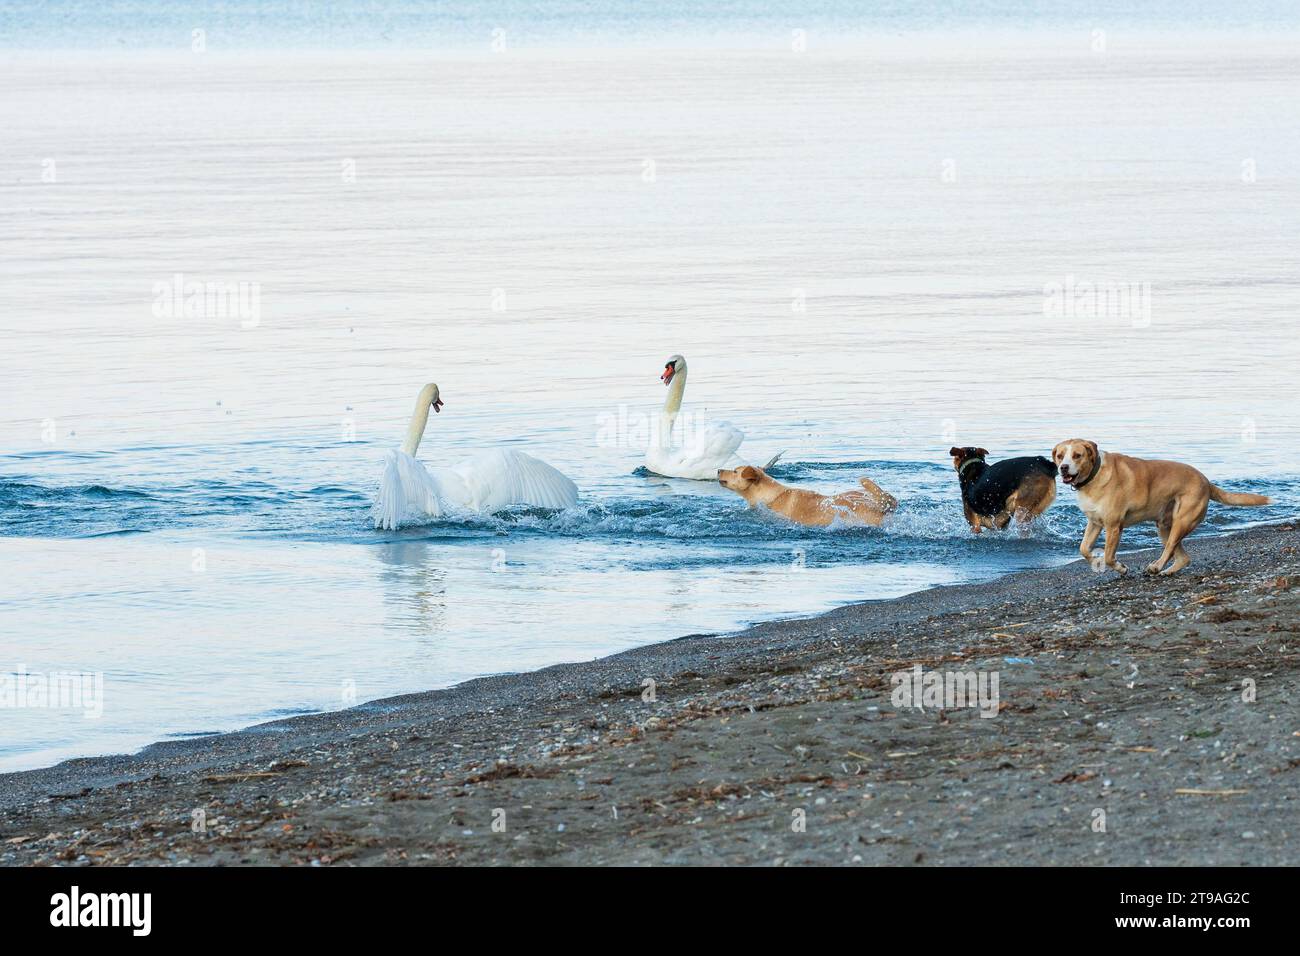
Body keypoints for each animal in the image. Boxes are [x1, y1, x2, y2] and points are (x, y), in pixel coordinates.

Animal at [1045, 442, 1268, 574]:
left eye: (1077, 455)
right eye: (1060, 455)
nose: (1063, 468)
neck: (1094, 477)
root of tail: (1206, 481)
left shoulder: (1114, 526)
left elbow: (1108, 557)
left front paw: (1121, 568)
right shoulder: (1094, 523)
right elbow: (1083, 549)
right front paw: (1093, 559)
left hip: (1182, 521)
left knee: (1169, 549)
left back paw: (1158, 567)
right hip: (1164, 526)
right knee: (1183, 557)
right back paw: (1166, 571)